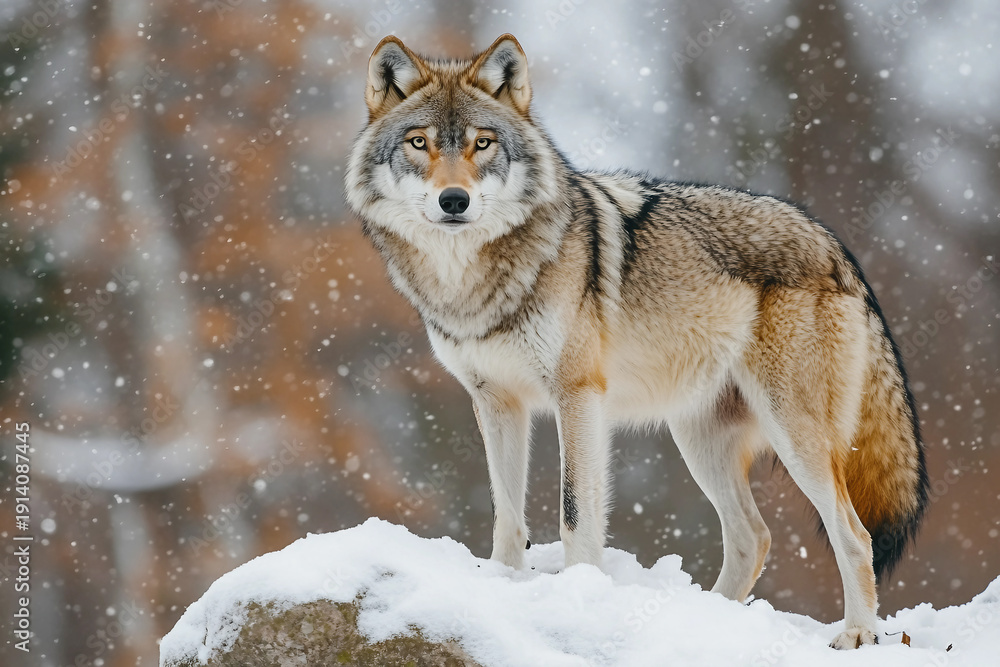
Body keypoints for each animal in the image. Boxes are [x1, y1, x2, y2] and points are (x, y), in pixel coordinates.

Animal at [345, 33, 929, 649]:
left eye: (483, 143)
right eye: (419, 143)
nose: (454, 200)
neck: (473, 282)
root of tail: (836, 246)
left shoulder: (578, 395)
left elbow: (575, 514)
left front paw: (577, 595)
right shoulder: (495, 401)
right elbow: (507, 513)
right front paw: (501, 586)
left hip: (794, 436)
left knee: (854, 535)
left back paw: (858, 634)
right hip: (698, 440)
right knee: (754, 537)